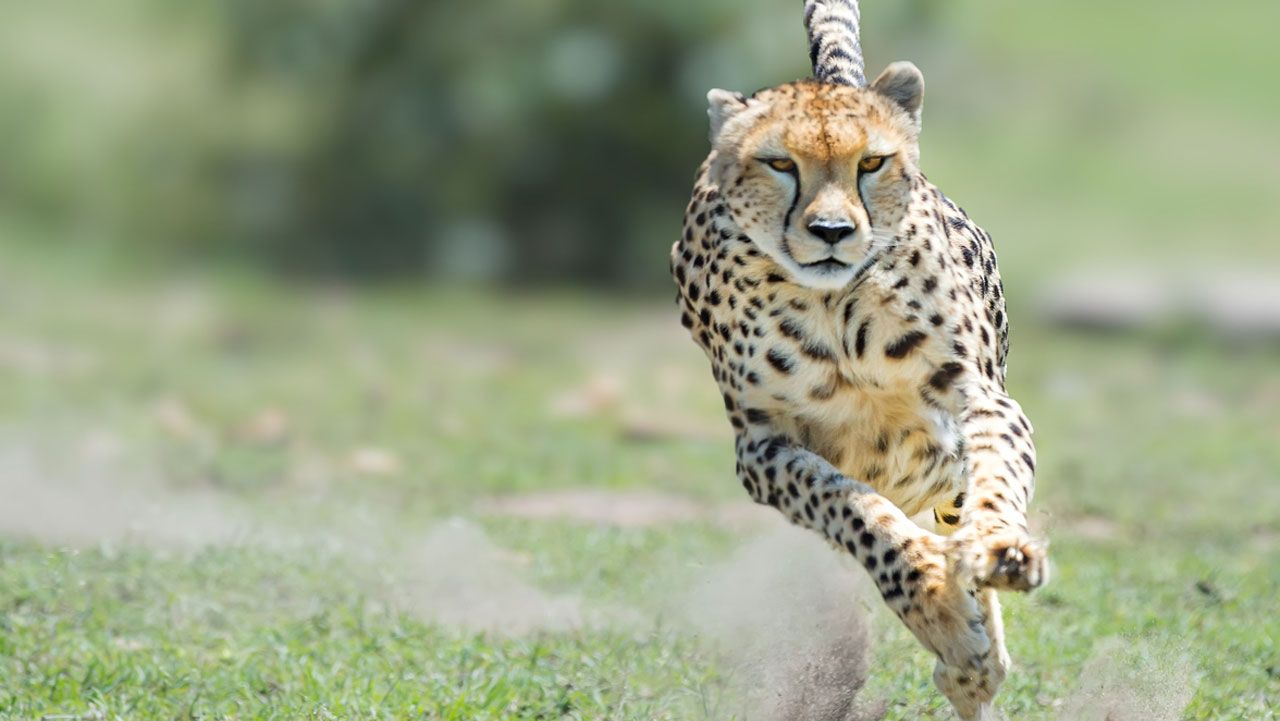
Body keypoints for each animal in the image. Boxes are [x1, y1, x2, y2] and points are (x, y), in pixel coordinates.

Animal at [669, 2, 1048, 718]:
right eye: (779, 163)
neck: (834, 308)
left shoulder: (978, 396)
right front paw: (936, 606)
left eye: (871, 162)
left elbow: (997, 476)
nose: (832, 232)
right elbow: (853, 510)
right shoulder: (761, 447)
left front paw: (999, 551)